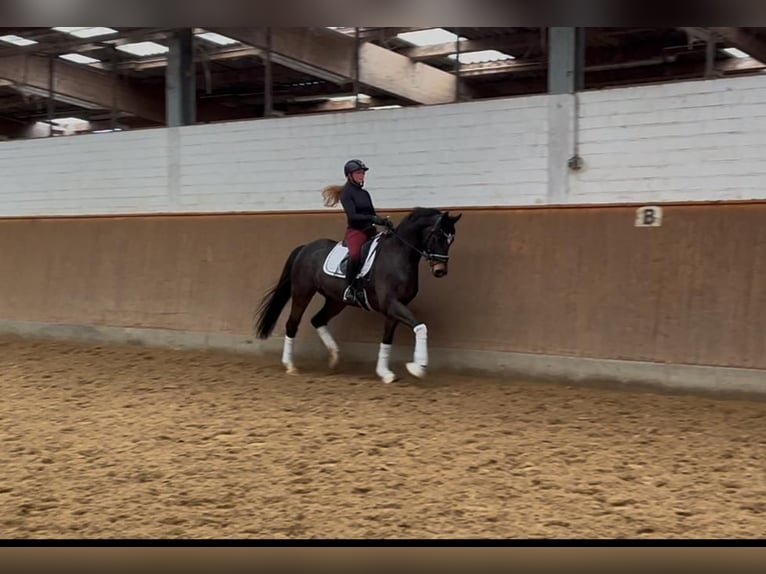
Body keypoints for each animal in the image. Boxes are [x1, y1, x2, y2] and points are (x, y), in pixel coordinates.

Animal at [256, 205, 462, 384]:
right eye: (438, 235)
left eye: (451, 240)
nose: (440, 271)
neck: (398, 255)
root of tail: (306, 247)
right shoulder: (391, 304)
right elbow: (420, 327)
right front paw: (417, 367)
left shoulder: (395, 308)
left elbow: (387, 339)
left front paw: (385, 373)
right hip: (302, 292)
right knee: (292, 324)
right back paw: (290, 366)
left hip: (336, 301)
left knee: (317, 319)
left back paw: (334, 358)